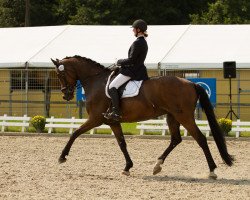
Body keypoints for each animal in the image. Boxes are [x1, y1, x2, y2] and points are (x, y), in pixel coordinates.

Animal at [51, 54, 234, 178]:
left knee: (200, 139)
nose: (65, 95)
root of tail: (191, 83)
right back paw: (157, 166)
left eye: (60, 75)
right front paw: (127, 167)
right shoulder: (112, 122)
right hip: (172, 116)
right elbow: (122, 143)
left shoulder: (95, 119)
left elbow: (74, 133)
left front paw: (62, 157)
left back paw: (212, 171)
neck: (96, 81)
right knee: (176, 139)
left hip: (184, 117)